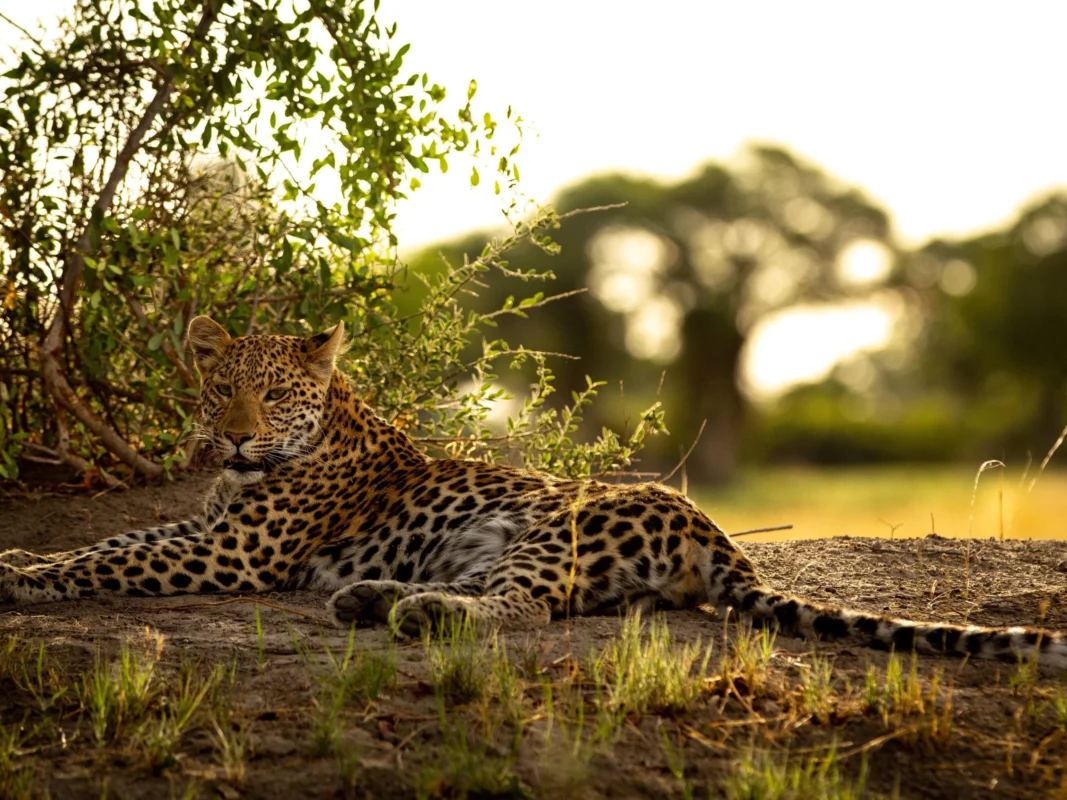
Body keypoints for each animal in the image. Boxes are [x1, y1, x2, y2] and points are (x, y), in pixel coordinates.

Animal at [1, 315, 1065, 667]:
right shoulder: (209, 528)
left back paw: (414, 613)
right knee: (505, 595)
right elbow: (110, 543)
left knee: (526, 608)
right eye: (220, 384)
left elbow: (110, 557)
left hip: (563, 520)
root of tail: (720, 538)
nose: (231, 433)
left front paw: (20, 574)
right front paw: (21, 554)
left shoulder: (232, 553)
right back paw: (374, 598)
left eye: (272, 392)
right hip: (510, 540)